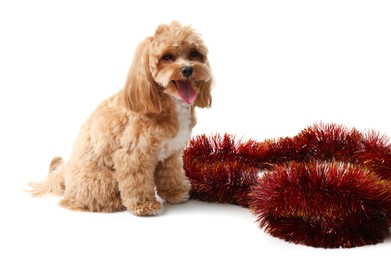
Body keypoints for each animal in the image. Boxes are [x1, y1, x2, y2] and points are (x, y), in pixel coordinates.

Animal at [29, 20, 214, 216]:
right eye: (167, 57)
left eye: (194, 53)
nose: (187, 69)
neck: (165, 101)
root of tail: (64, 178)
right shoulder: (133, 154)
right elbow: (137, 181)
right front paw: (144, 205)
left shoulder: (171, 154)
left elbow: (171, 174)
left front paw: (175, 192)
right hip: (103, 180)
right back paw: (114, 203)